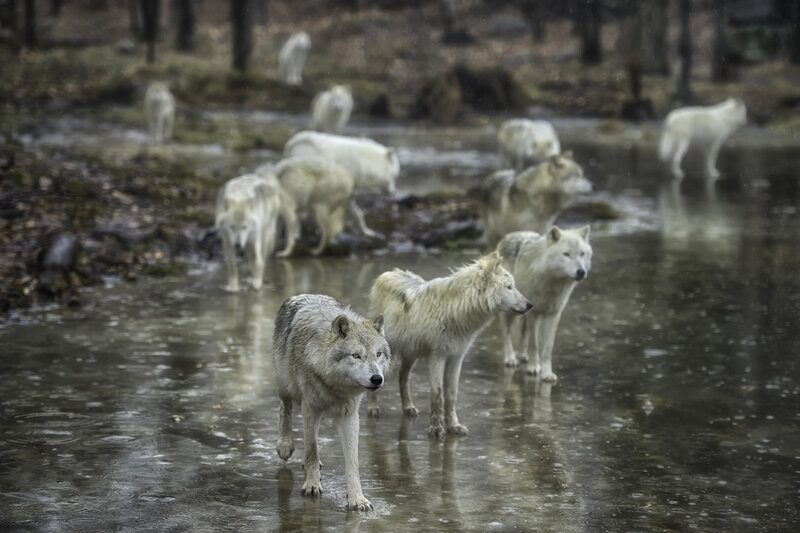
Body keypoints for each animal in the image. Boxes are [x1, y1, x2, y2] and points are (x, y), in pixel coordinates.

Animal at [273, 294, 390, 511]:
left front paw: (357, 498)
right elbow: (311, 450)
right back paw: (285, 445)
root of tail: (303, 295)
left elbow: (352, 462)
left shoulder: (350, 415)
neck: (335, 386)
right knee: (284, 409)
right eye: (356, 355)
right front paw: (311, 485)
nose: (377, 379)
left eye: (378, 354)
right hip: (285, 385)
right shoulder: (310, 408)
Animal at [366, 252, 532, 438]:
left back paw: (408, 408)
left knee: (403, 377)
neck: (457, 311)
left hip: (411, 353)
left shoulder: (456, 357)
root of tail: (386, 273)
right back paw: (373, 408)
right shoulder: (437, 357)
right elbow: (437, 395)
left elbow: (452, 395)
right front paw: (436, 428)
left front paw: (453, 426)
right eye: (509, 287)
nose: (530, 305)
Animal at [497, 226, 592, 382]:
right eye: (566, 254)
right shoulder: (534, 313)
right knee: (506, 334)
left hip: (524, 310)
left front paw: (547, 373)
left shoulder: (553, 315)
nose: (581, 272)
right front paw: (534, 368)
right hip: (510, 312)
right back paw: (510, 358)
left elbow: (547, 347)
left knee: (523, 332)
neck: (552, 282)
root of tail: (509, 235)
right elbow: (534, 344)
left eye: (582, 254)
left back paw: (523, 355)